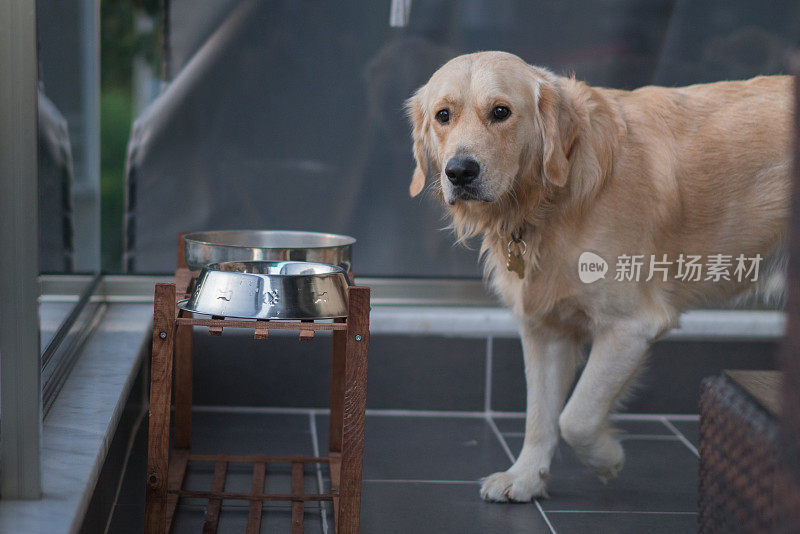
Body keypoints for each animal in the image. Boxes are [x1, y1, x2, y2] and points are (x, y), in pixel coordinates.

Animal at [404, 50, 792, 502]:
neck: (554, 197)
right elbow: (540, 415)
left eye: (501, 112)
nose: (460, 172)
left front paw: (607, 458)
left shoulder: (631, 326)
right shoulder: (545, 329)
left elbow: (576, 417)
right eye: (443, 115)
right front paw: (525, 478)